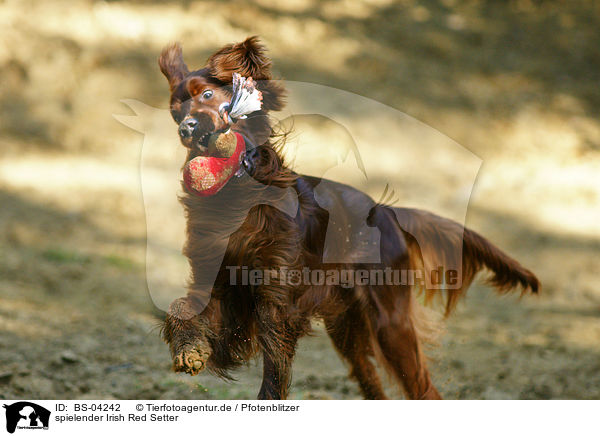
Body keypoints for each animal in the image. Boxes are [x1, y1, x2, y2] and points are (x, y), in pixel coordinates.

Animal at [158, 36, 540, 398]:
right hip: (347, 330)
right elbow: (180, 306)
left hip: (390, 323)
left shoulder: (275, 303)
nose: (186, 129)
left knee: (424, 390)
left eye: (208, 94)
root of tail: (386, 213)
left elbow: (273, 375)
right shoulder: (219, 283)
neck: (238, 198)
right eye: (176, 113)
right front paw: (189, 349)